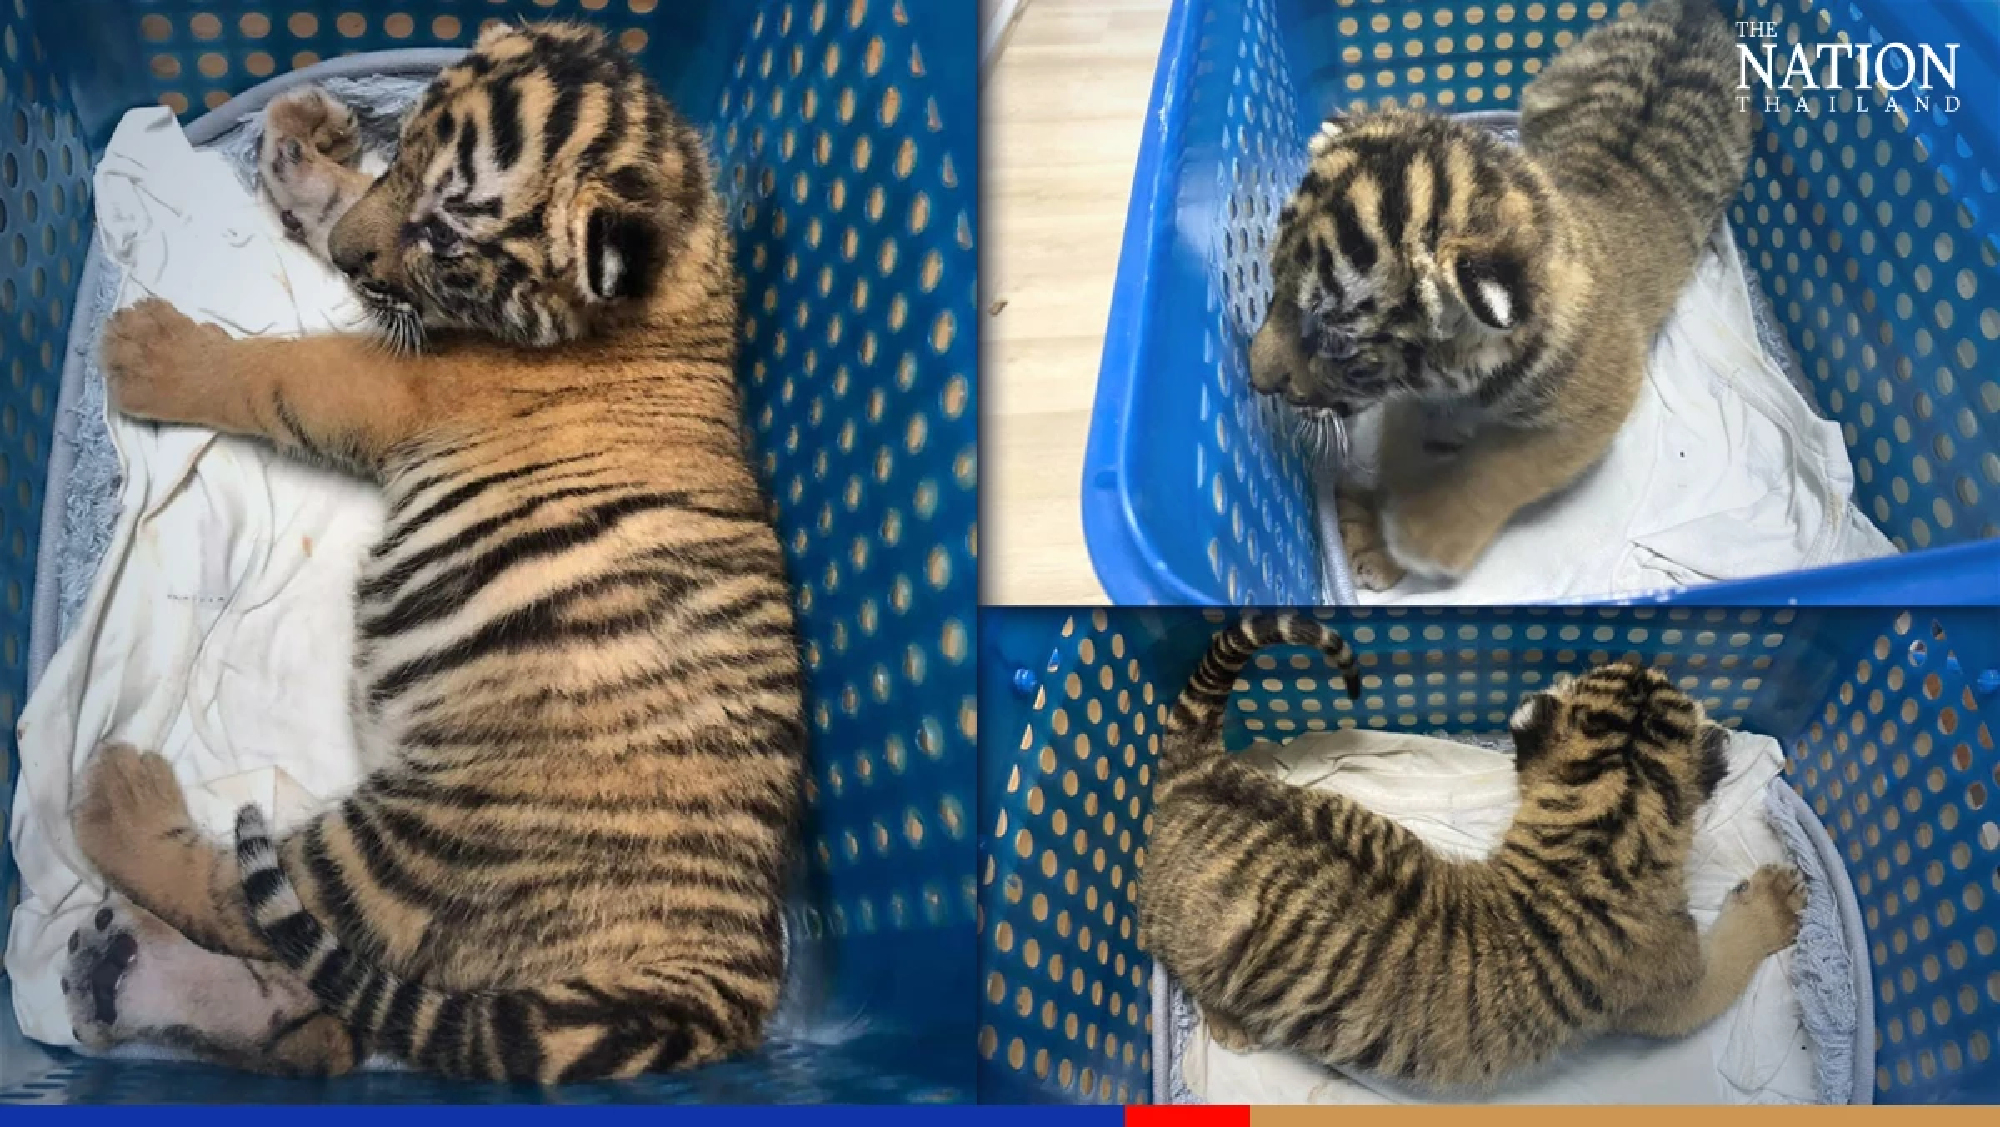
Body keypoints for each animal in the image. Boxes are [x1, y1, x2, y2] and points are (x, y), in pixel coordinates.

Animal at [62, 22, 805, 1083]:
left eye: (446, 236)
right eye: (402, 152)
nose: (341, 260)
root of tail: (719, 984)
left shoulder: (385, 380)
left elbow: (273, 370)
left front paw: (151, 350)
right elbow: (348, 201)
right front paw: (302, 143)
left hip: (420, 846)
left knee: (249, 903)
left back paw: (115, 793)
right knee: (323, 1026)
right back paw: (110, 971)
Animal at [1137, 614, 1805, 1092]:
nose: (1640, 655)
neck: (1608, 817)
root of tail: (1201, 775)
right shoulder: (1674, 990)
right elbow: (1730, 958)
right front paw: (1778, 896)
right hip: (1201, 940)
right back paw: (1232, 1028)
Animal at [1247, 0, 1752, 589]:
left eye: (1333, 342)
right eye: (1273, 291)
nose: (1254, 380)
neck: (1461, 382)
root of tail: (1699, 10)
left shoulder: (1597, 405)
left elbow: (1499, 469)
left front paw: (1417, 537)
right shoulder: (1421, 402)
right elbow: (1407, 450)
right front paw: (1372, 525)